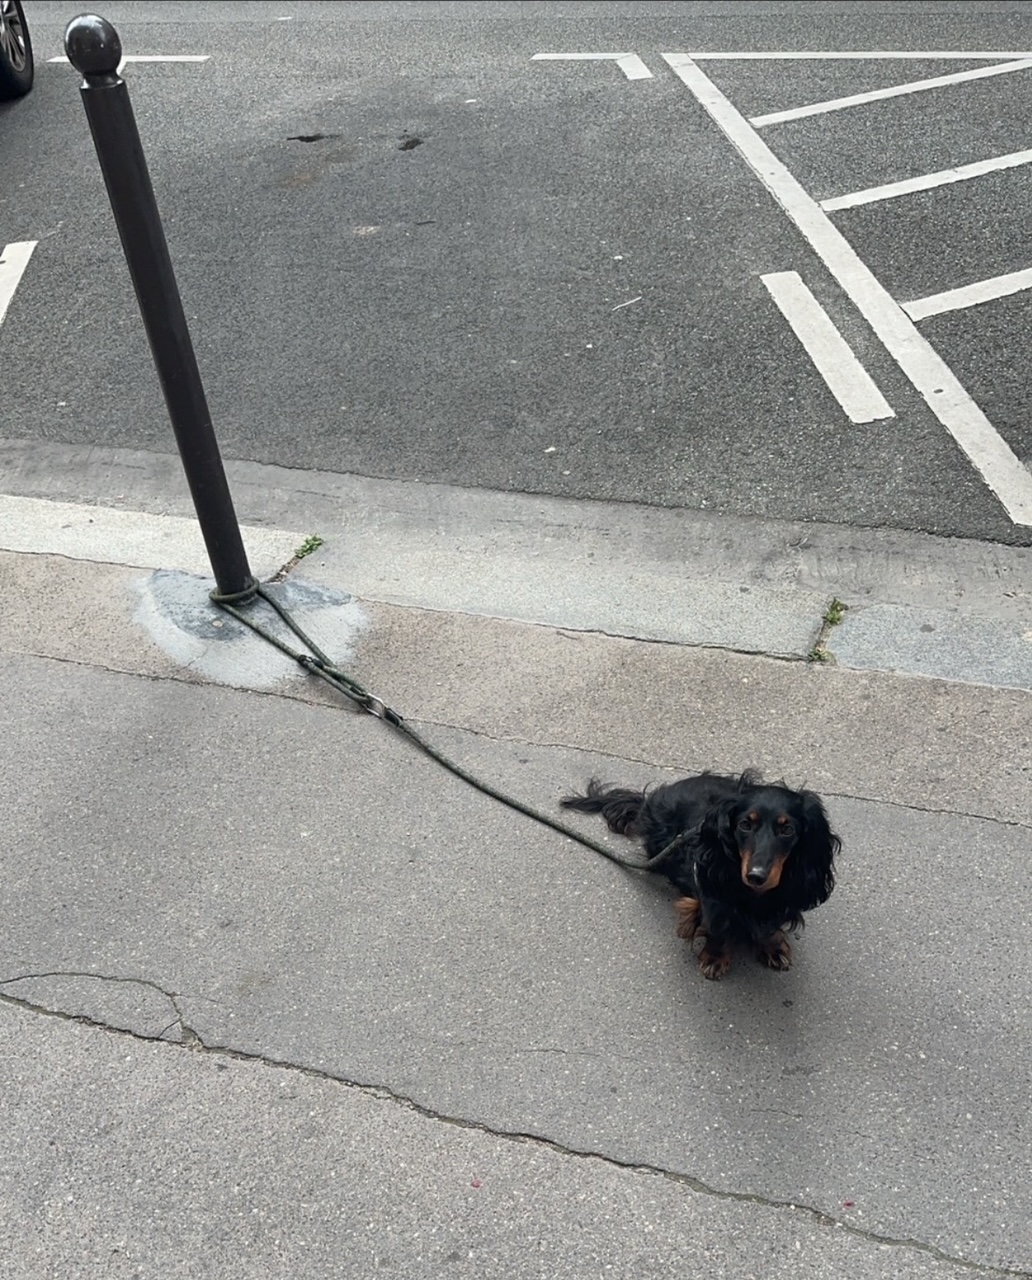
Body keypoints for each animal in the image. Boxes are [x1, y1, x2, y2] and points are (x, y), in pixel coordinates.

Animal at [558, 768, 839, 977]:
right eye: (745, 824)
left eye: (787, 829)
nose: (756, 876)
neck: (754, 896)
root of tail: (649, 800)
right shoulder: (709, 890)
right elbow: (716, 924)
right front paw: (715, 956)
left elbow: (768, 926)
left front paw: (773, 946)